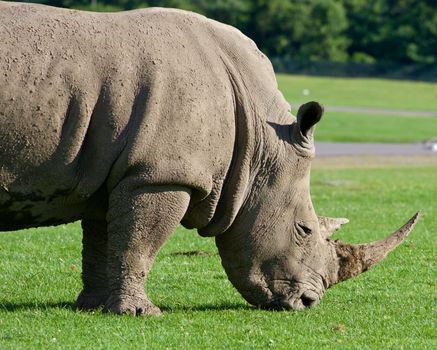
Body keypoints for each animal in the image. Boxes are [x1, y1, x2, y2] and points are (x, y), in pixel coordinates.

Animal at [0, 1, 418, 314]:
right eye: (304, 230)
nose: (308, 302)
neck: (260, 142)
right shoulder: (161, 174)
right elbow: (139, 243)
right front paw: (140, 313)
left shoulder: (119, 172)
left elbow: (103, 242)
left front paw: (93, 307)